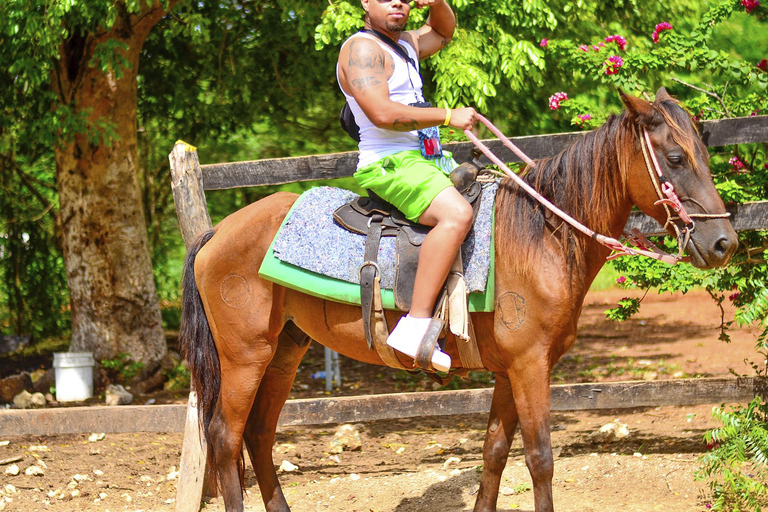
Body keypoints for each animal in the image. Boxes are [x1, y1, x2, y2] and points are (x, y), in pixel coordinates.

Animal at [178, 89, 736, 512]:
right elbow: (540, 458)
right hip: (244, 355)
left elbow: (494, 452)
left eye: (705, 156)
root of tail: (216, 233)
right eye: (674, 159)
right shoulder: (531, 366)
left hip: (285, 351)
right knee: (226, 439)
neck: (542, 236)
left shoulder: (512, 370)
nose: (723, 243)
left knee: (258, 436)